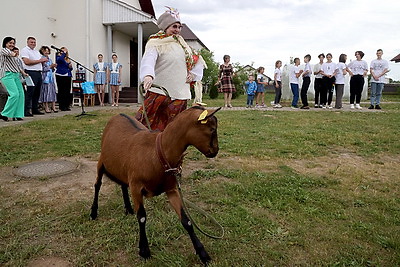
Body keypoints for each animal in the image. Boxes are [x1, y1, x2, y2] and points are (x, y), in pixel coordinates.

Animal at [90, 107, 220, 266]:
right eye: (212, 129)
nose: (215, 151)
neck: (159, 152)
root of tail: (118, 115)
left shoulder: (172, 189)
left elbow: (187, 221)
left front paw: (203, 254)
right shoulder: (136, 187)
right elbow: (142, 218)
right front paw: (144, 251)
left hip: (122, 168)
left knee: (122, 185)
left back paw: (128, 208)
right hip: (101, 162)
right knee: (97, 184)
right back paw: (93, 212)